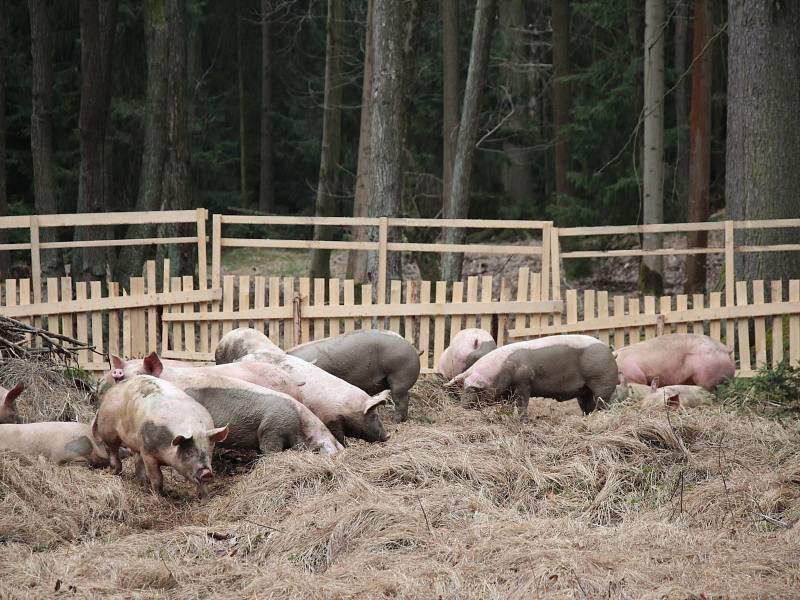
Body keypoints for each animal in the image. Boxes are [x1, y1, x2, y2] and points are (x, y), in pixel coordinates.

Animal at [92, 376, 228, 496]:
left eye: (208, 452)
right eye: (189, 452)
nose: (206, 472)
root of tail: (110, 391)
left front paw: (204, 497)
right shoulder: (148, 453)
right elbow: (157, 477)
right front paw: (160, 496)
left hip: (136, 441)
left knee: (137, 459)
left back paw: (141, 482)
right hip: (107, 430)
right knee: (113, 450)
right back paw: (115, 472)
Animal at [446, 332, 616, 422]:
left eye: (475, 390)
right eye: (464, 387)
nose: (463, 406)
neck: (501, 369)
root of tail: (610, 352)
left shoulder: (524, 382)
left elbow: (522, 403)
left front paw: (523, 421)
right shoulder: (508, 391)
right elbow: (509, 405)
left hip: (602, 380)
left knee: (603, 402)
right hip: (584, 390)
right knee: (587, 405)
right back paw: (586, 418)